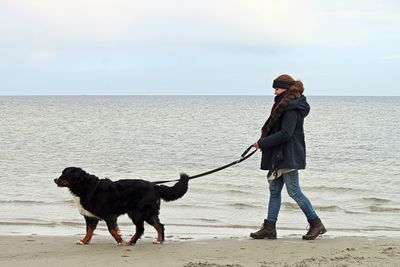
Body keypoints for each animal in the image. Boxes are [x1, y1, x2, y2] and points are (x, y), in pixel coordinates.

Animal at [54, 169, 189, 246]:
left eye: (64, 175)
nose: (54, 179)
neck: (87, 187)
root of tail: (155, 186)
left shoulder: (109, 215)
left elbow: (112, 230)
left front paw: (120, 240)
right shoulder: (90, 217)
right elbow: (89, 231)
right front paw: (84, 241)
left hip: (138, 213)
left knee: (141, 228)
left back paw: (131, 241)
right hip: (148, 213)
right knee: (159, 226)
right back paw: (158, 240)